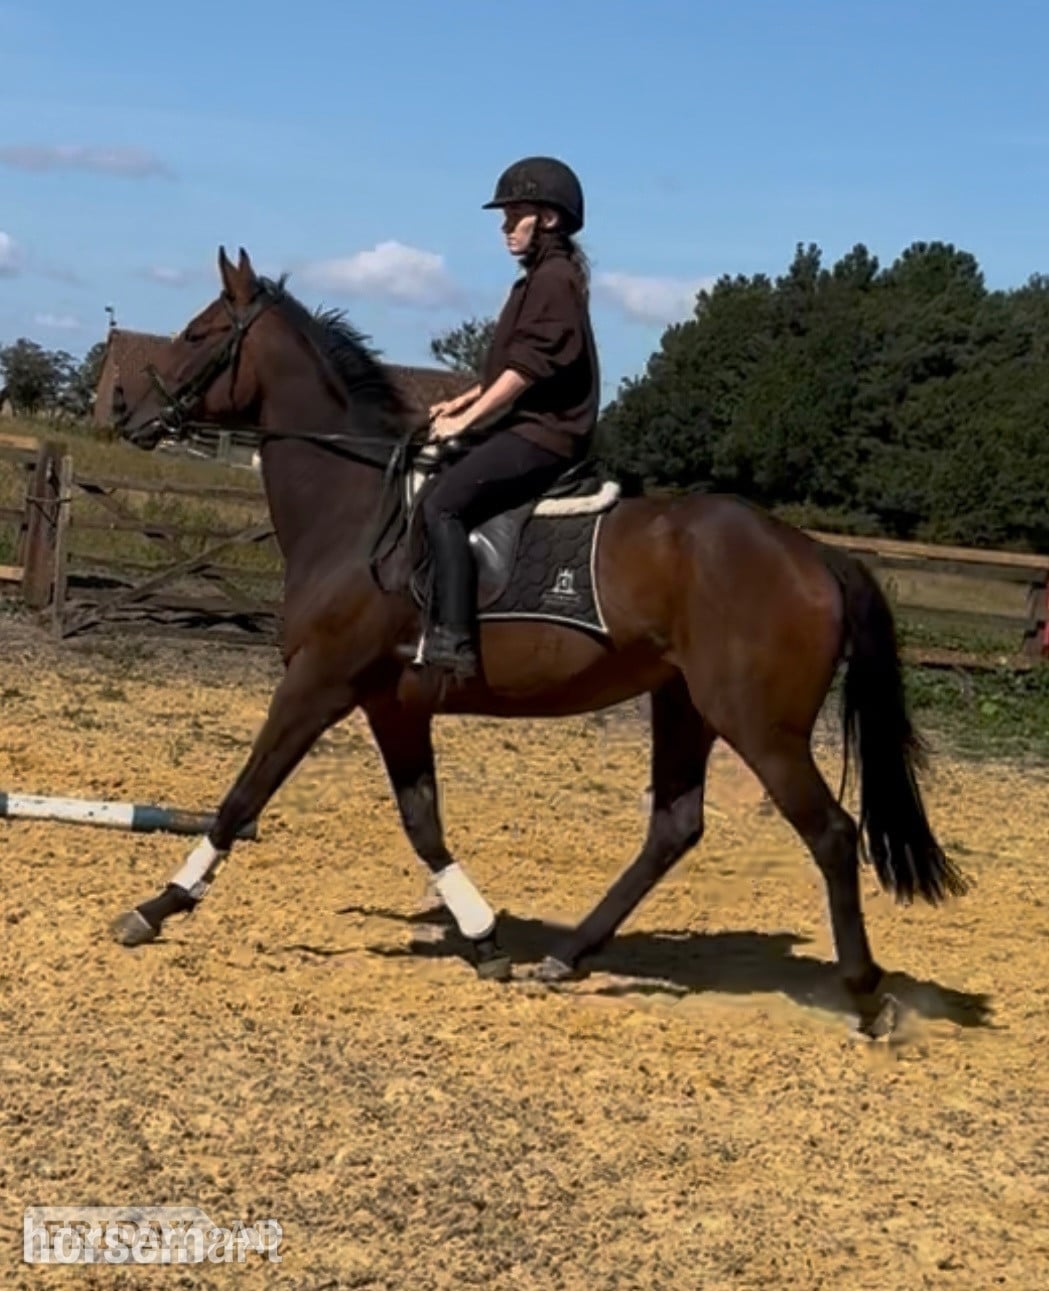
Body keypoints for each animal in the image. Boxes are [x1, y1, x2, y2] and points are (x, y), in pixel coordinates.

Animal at [111, 245, 968, 1036]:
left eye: (197, 333)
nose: (127, 414)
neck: (354, 511)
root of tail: (813, 554)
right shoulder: (392, 703)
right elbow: (422, 822)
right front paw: (484, 938)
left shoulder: (318, 681)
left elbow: (241, 797)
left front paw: (157, 905)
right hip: (683, 704)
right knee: (674, 826)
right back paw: (567, 954)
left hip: (759, 724)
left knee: (831, 833)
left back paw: (866, 996)